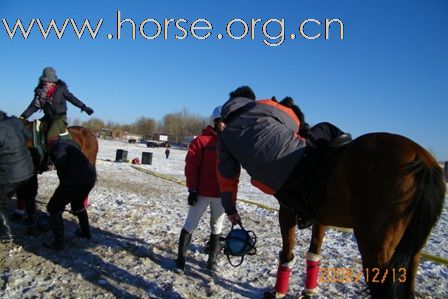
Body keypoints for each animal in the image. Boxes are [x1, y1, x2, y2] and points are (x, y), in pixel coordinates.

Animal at [266, 133, 444, 299]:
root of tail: (424, 161)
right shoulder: (321, 219)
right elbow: (314, 252)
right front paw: (309, 291)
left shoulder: (287, 212)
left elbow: (287, 252)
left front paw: (278, 292)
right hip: (413, 252)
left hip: (375, 249)